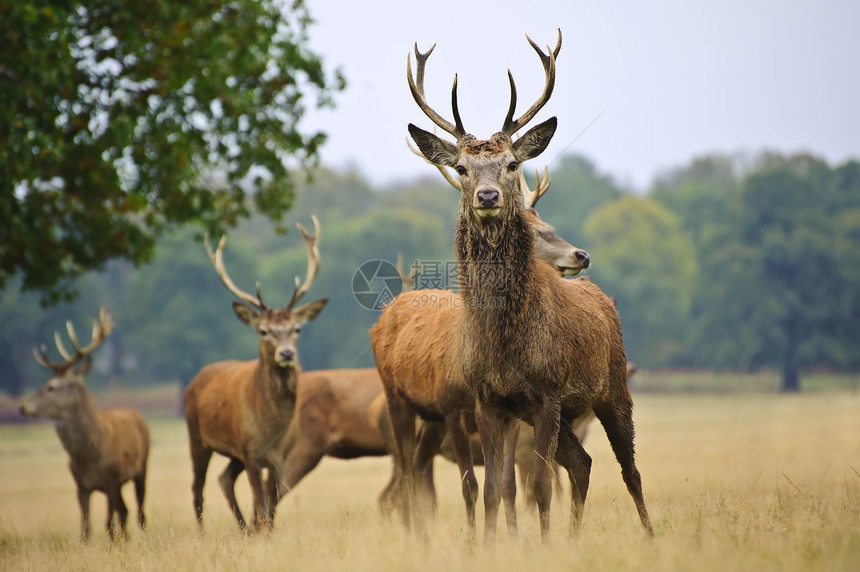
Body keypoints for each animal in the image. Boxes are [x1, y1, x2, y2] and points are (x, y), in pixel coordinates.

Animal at [18, 310, 150, 544]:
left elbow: (108, 524)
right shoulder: (81, 485)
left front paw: (114, 545)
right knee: (124, 511)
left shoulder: (111, 480)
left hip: (141, 469)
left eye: (52, 387)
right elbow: (85, 529)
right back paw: (126, 539)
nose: (23, 406)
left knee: (139, 512)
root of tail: (135, 414)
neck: (88, 456)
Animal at [183, 218, 328, 532]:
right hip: (197, 437)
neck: (273, 427)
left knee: (224, 478)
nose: (286, 354)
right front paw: (260, 532)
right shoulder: (250, 451)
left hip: (233, 453)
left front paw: (266, 534)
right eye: (264, 331)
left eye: (296, 328)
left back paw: (243, 529)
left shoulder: (279, 457)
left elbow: (270, 507)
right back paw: (203, 533)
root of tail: (194, 380)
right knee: (197, 488)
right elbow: (261, 505)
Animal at [406, 30, 656, 540]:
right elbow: (493, 489)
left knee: (629, 470)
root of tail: (602, 297)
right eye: (461, 168)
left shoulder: (548, 392)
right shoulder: (490, 400)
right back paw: (575, 538)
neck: (505, 338)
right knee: (582, 463)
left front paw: (541, 545)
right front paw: (490, 545)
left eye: (511, 164)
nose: (487, 196)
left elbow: (539, 485)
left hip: (612, 388)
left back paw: (650, 535)